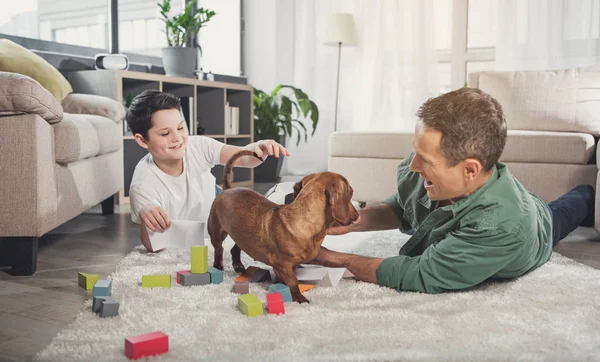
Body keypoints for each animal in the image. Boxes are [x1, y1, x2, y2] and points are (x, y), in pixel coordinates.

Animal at [207, 149, 356, 302]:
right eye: (351, 193)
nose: (357, 216)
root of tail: (227, 189)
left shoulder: (290, 265)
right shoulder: (283, 264)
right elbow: (293, 281)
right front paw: (299, 298)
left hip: (241, 234)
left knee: (235, 248)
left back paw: (238, 264)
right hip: (216, 231)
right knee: (219, 249)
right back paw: (218, 265)